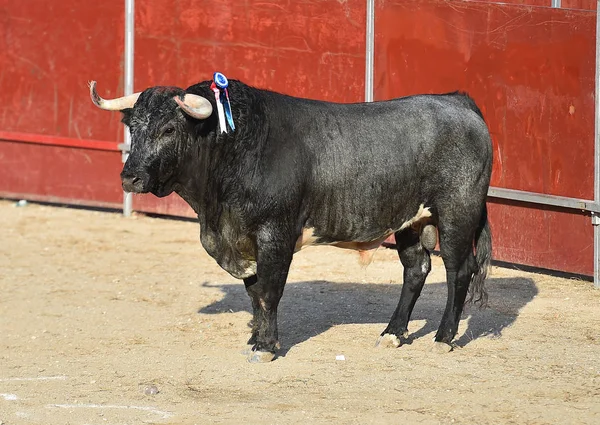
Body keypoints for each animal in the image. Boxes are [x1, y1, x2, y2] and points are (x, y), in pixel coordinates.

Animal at [89, 78, 492, 362]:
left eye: (169, 129)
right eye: (133, 128)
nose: (129, 178)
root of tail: (459, 101)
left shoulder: (275, 235)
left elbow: (269, 291)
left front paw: (266, 347)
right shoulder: (245, 240)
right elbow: (254, 293)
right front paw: (255, 337)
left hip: (458, 213)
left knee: (459, 270)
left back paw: (442, 338)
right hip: (409, 221)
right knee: (416, 268)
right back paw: (392, 333)